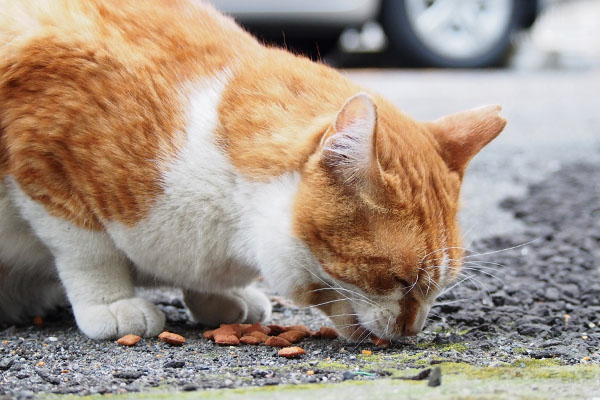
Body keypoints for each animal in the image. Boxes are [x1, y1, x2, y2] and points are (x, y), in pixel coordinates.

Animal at [0, 0, 506, 340]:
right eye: (401, 282)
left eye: (439, 290)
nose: (413, 330)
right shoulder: (40, 158)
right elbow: (87, 248)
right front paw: (113, 302)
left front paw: (220, 299)